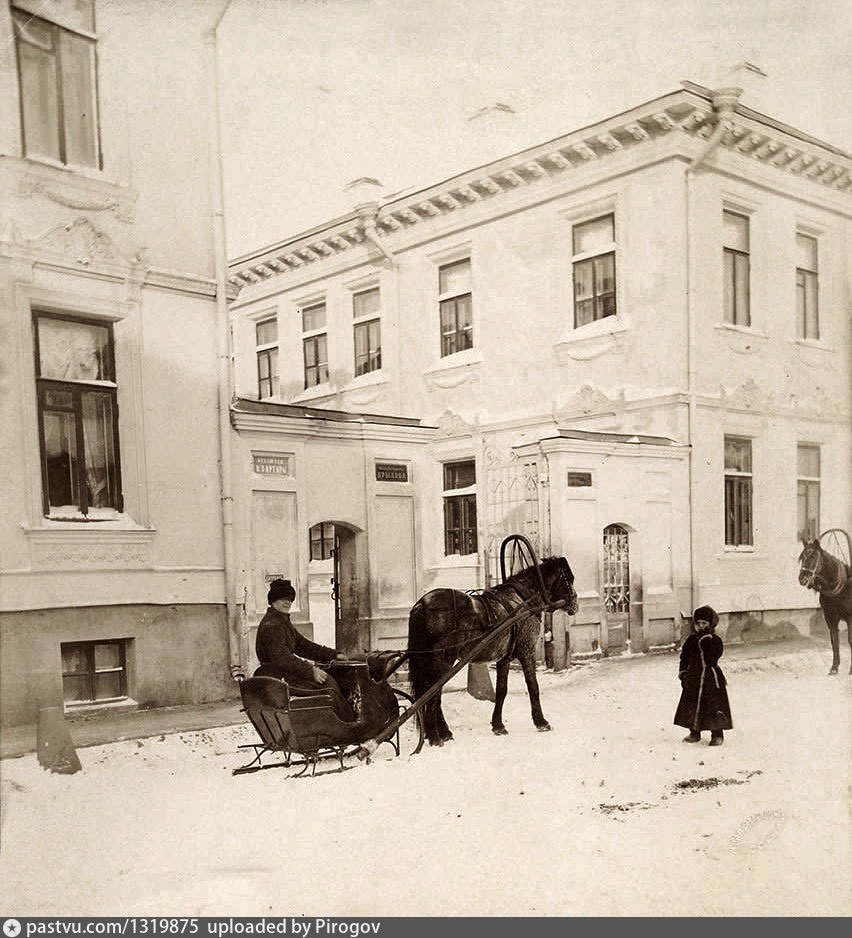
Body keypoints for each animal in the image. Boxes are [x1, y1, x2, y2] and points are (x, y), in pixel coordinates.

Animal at [406, 556, 580, 744]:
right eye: (569, 578)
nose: (575, 604)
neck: (523, 600)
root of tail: (422, 605)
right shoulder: (527, 652)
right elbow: (533, 686)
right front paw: (541, 722)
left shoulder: (504, 658)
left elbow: (501, 690)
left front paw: (498, 725)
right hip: (443, 661)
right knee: (433, 694)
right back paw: (435, 736)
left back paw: (443, 733)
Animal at [800, 532, 852, 672]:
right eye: (802, 557)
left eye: (813, 556)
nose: (802, 578)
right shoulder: (831, 619)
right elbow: (834, 641)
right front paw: (834, 667)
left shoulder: (850, 619)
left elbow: (850, 640)